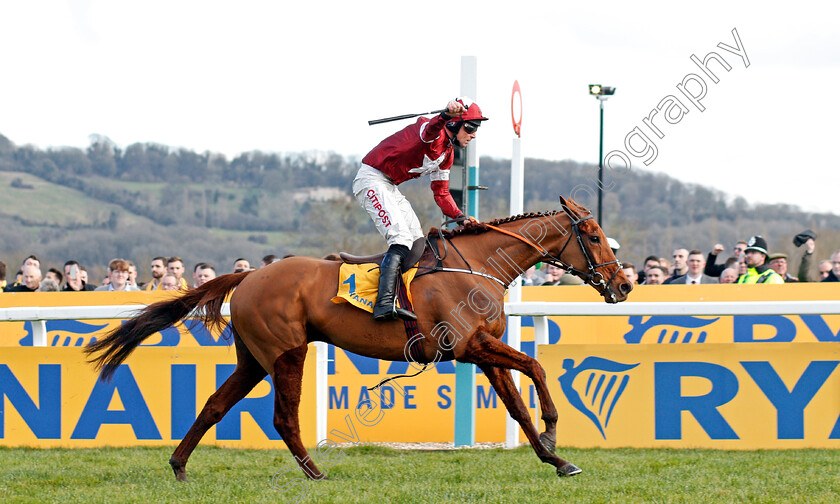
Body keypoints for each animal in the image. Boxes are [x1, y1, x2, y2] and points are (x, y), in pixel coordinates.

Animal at [88, 196, 632, 480]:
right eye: (594, 235)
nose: (624, 285)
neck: (476, 265)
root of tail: (248, 275)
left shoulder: (481, 352)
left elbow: (517, 404)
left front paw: (556, 458)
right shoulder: (469, 346)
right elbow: (536, 367)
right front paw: (554, 428)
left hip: (253, 358)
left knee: (215, 405)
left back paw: (180, 465)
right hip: (287, 351)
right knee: (283, 417)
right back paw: (315, 472)